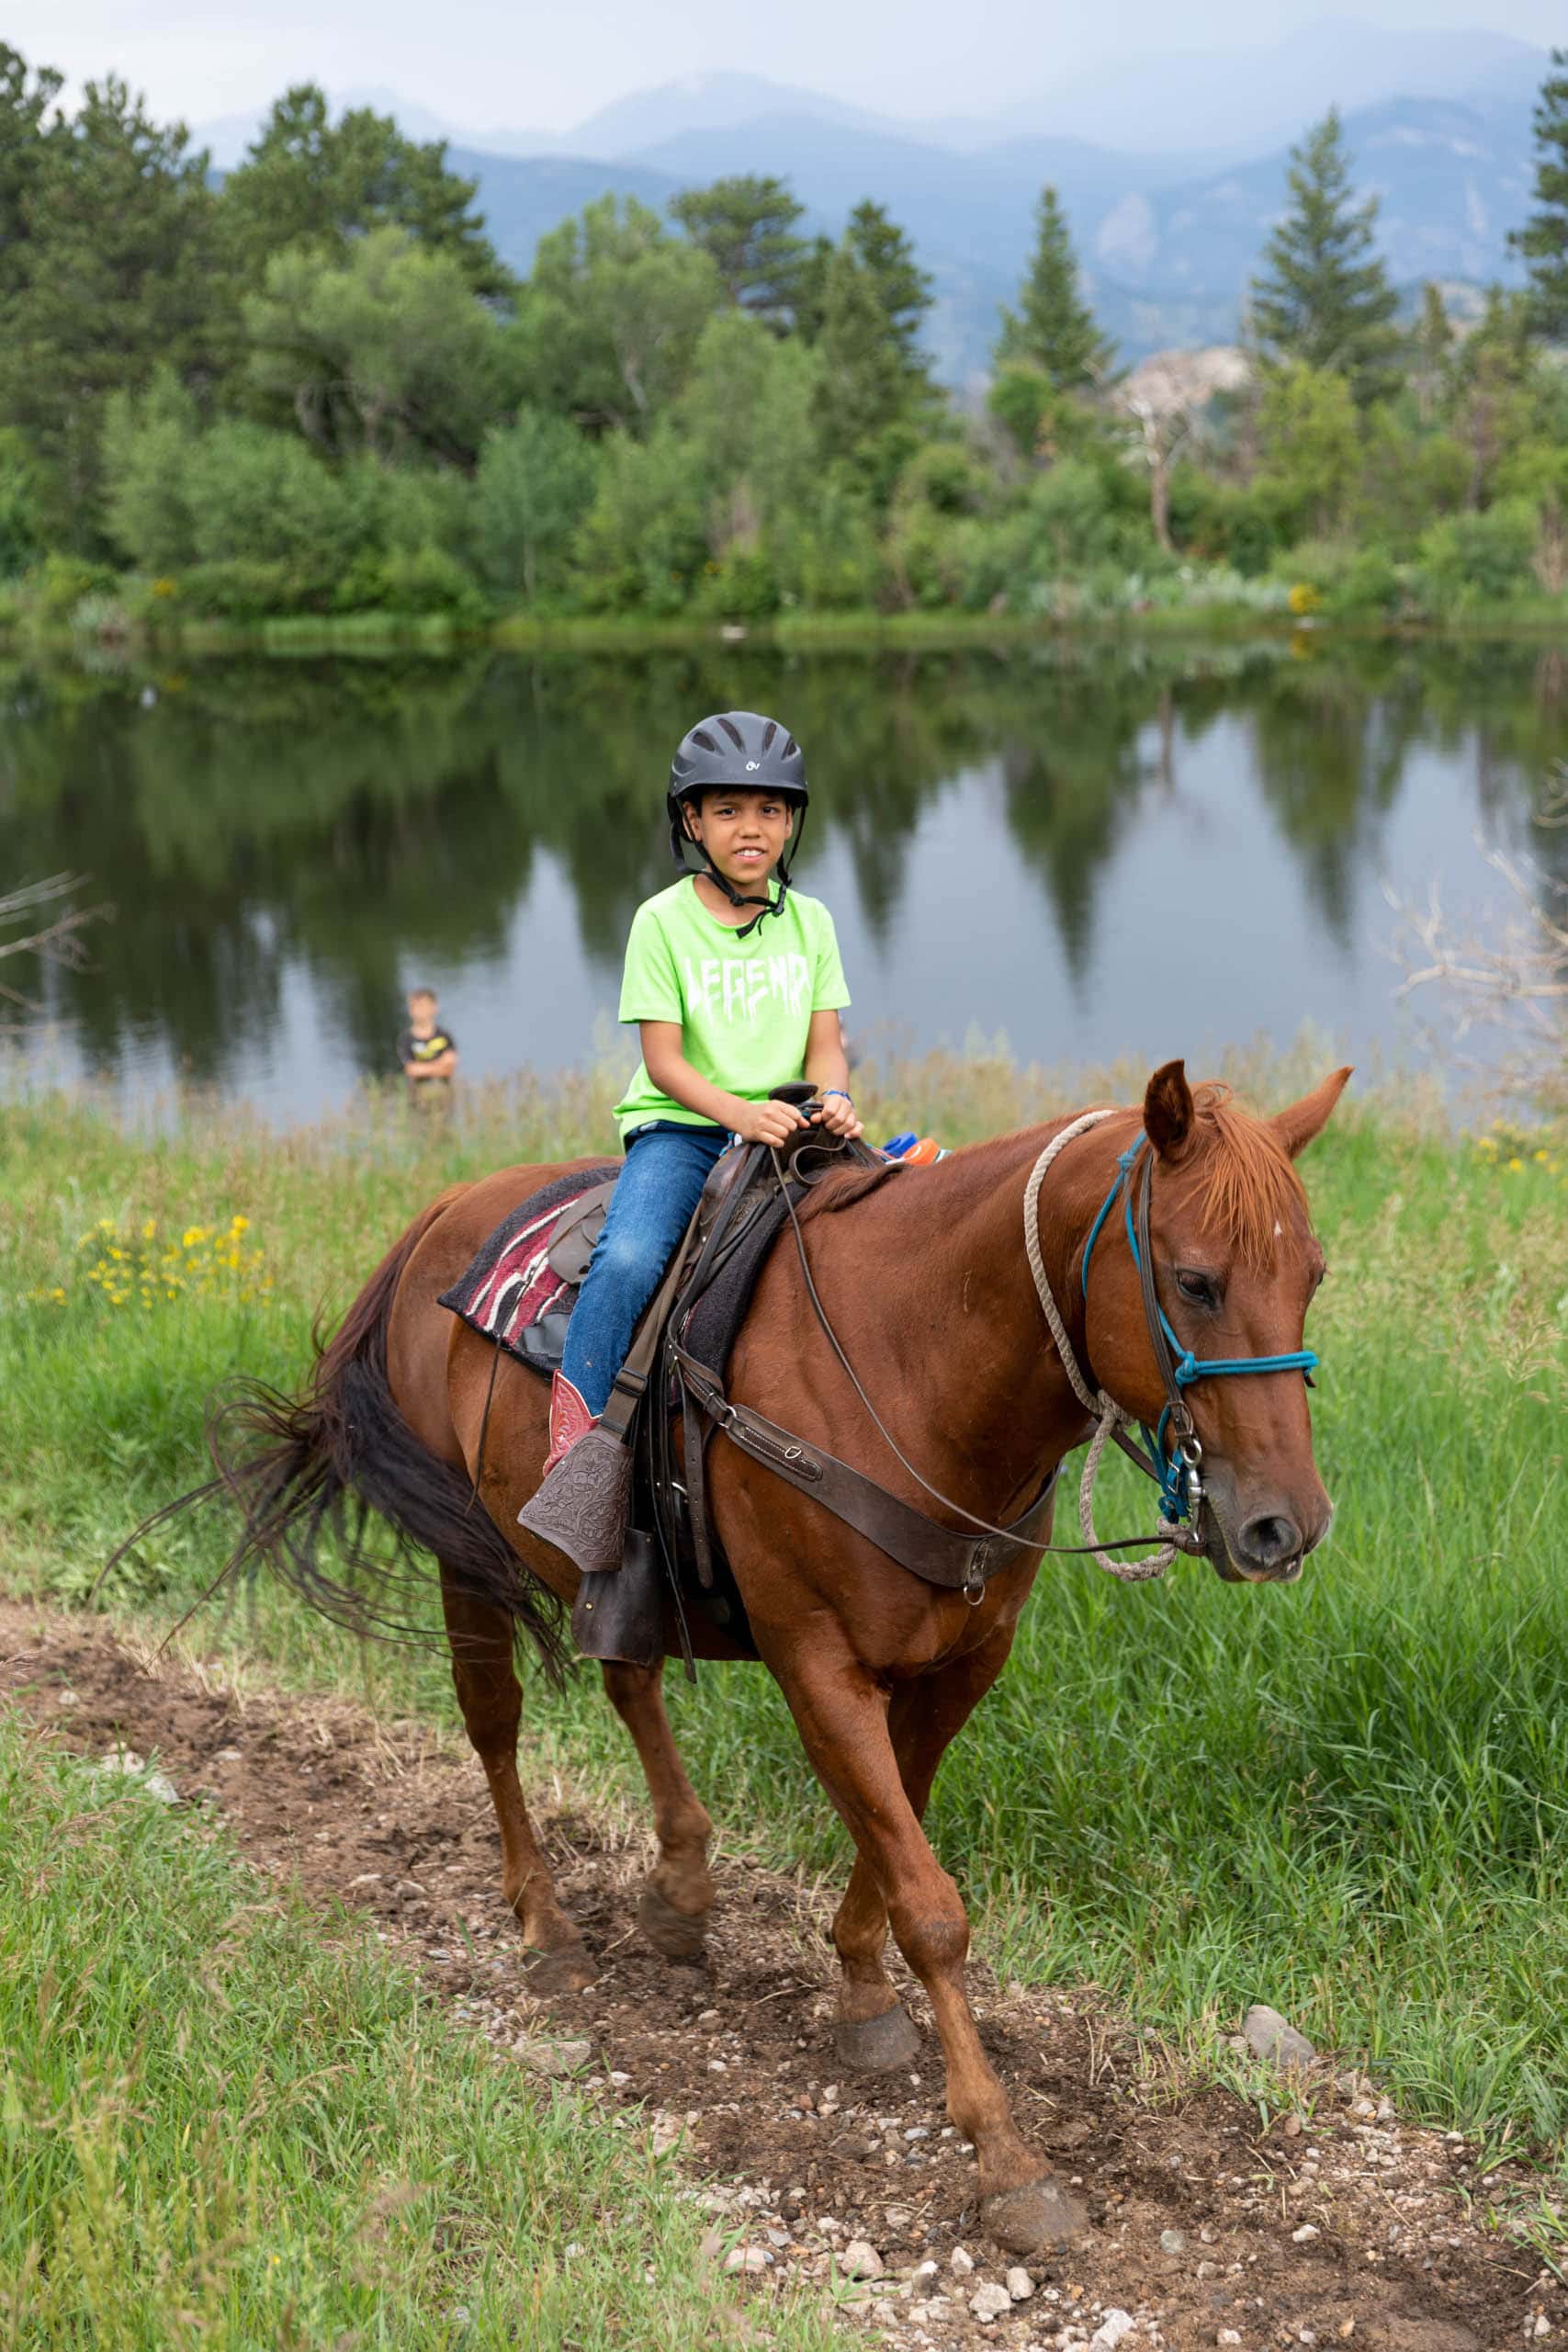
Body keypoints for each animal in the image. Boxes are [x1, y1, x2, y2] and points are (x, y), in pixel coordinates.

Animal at [178, 1057, 1349, 2255]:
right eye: (1196, 1281)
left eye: (1310, 1274)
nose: (1284, 1527)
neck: (913, 1355)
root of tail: (441, 1215)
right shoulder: (816, 1659)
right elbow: (930, 1900)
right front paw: (1006, 2155)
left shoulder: (960, 1663)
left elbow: (893, 1834)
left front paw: (863, 1996)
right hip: (467, 1555)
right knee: (493, 1721)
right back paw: (546, 1925)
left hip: (622, 1575)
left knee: (629, 1681)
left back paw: (680, 1888)